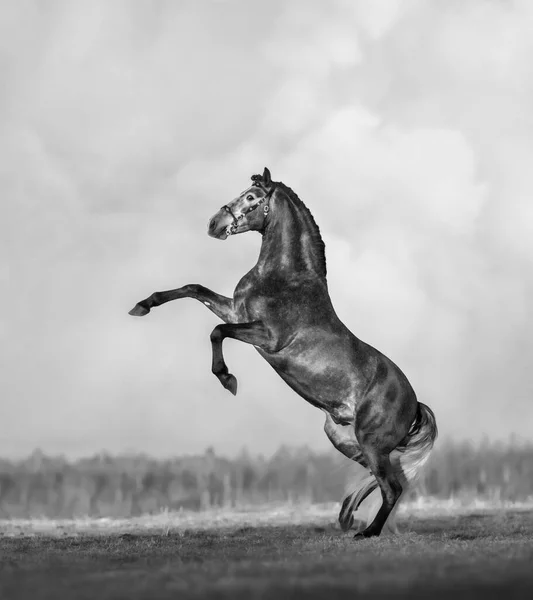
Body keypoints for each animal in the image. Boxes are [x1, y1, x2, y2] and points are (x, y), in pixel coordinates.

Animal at [129, 166, 436, 536]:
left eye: (250, 197)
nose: (214, 224)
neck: (284, 279)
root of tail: (414, 403)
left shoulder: (266, 336)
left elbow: (217, 332)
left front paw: (227, 379)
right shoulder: (236, 312)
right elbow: (194, 288)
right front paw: (142, 306)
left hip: (370, 440)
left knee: (392, 486)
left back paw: (366, 531)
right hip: (345, 439)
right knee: (386, 478)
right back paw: (347, 515)